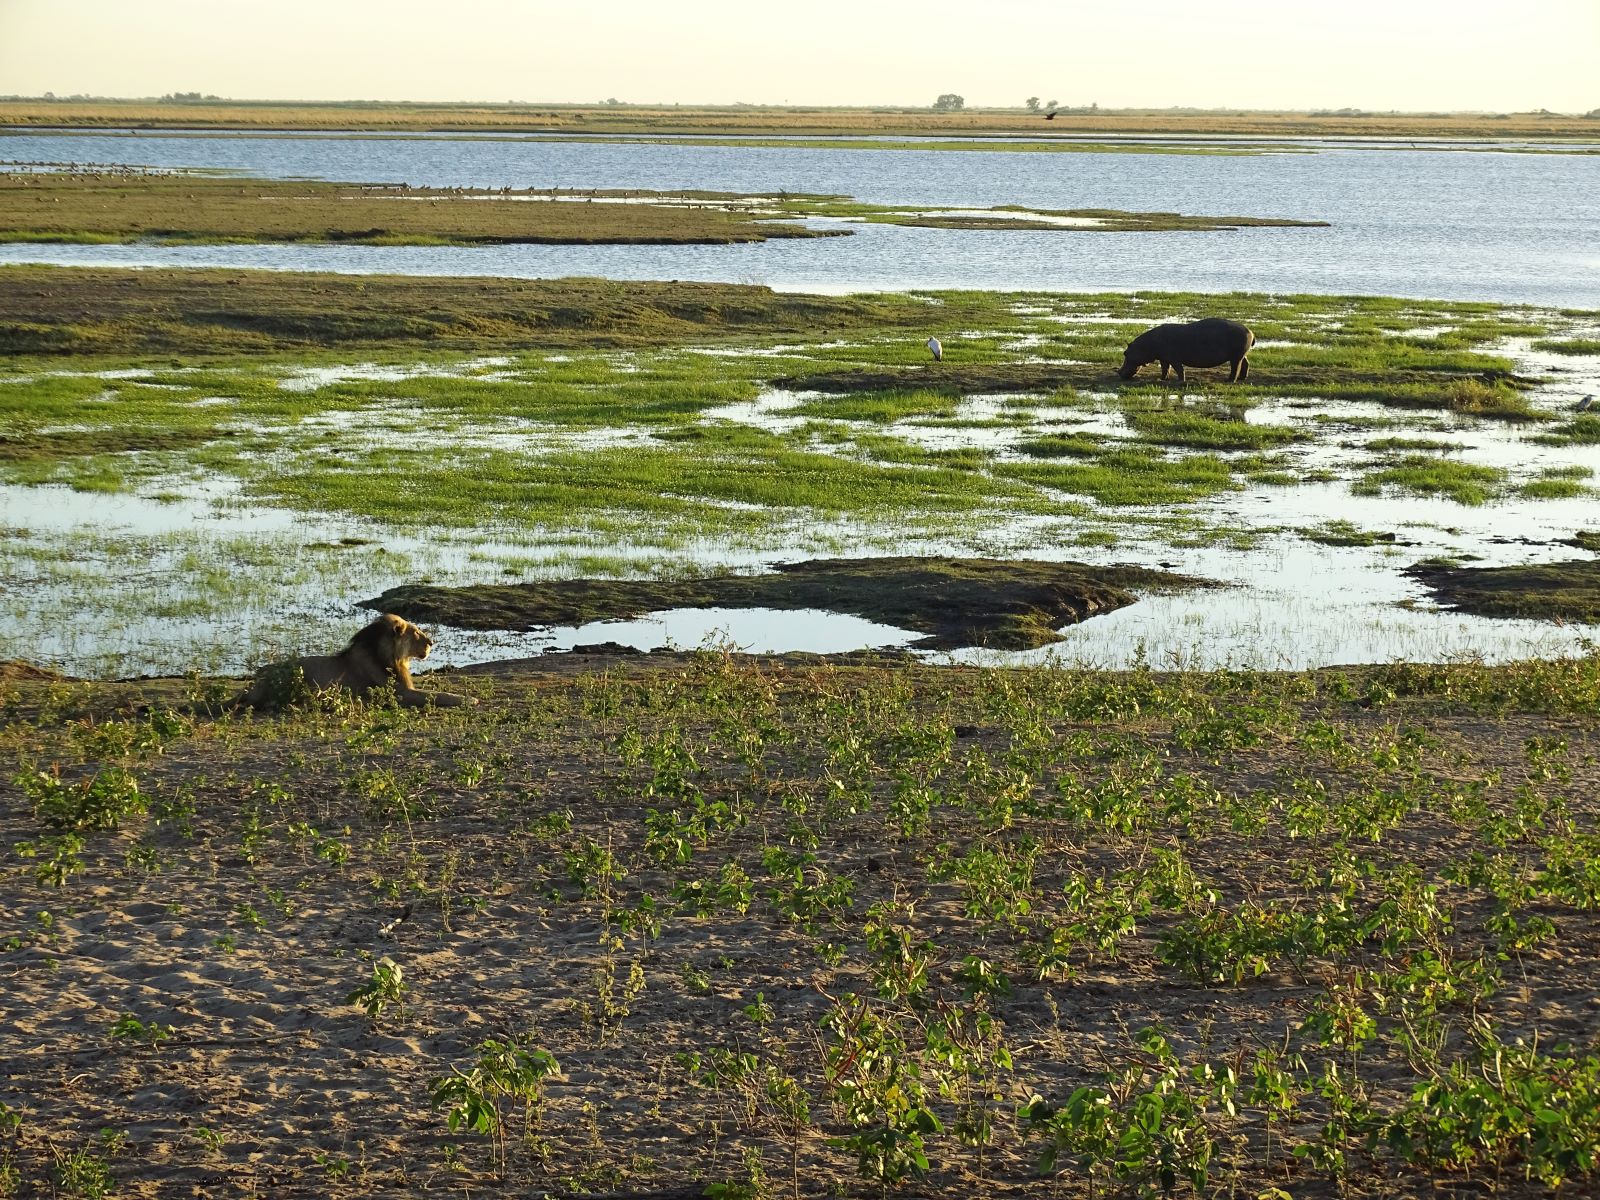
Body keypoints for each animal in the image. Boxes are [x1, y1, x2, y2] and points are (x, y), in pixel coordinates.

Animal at [230, 614, 473, 710]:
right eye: (415, 633)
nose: (431, 642)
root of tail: (255, 681)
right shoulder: (400, 694)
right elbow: (437, 695)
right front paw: (470, 699)